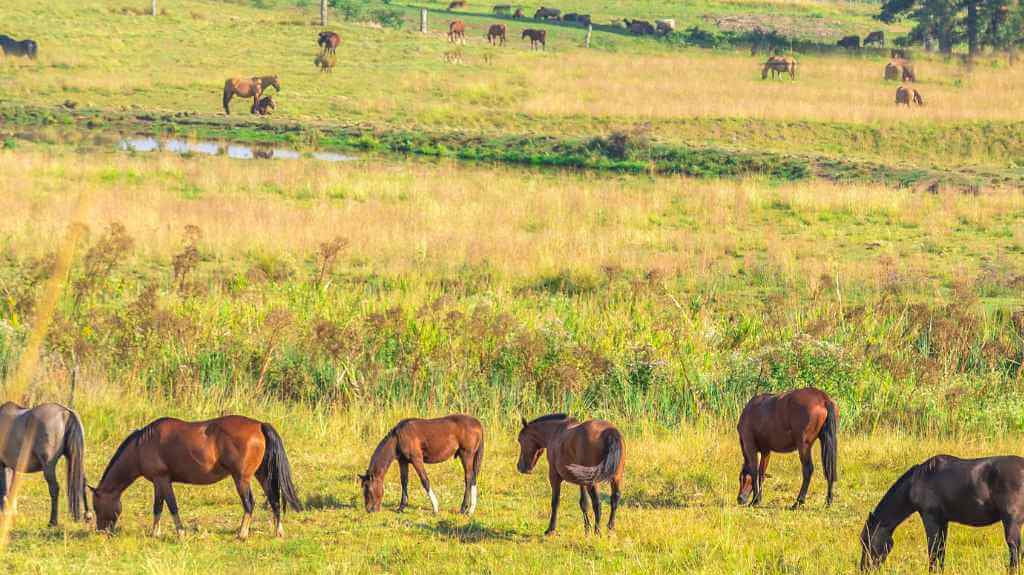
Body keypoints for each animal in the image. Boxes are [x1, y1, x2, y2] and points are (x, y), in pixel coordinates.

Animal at [91, 416, 301, 539]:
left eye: (96, 506)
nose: (101, 531)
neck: (142, 445)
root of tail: (259, 425)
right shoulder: (158, 483)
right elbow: (158, 507)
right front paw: (155, 533)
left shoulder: (163, 480)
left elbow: (172, 506)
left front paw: (180, 533)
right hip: (262, 475)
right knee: (274, 499)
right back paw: (278, 532)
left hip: (241, 479)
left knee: (250, 504)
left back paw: (242, 534)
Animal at [860, 455, 1024, 571]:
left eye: (866, 541)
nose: (863, 569)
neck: (917, 481)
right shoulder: (943, 521)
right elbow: (941, 550)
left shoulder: (930, 518)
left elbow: (933, 550)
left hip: (1011, 522)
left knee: (1014, 550)